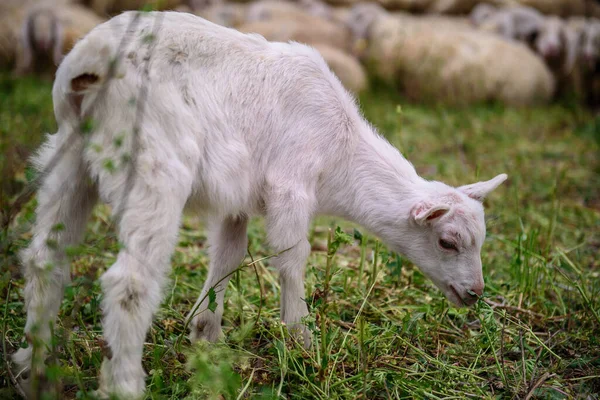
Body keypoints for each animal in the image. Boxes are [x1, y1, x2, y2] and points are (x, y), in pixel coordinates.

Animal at [10, 10, 506, 398]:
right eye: (447, 242)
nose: (475, 294)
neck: (341, 148)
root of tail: (92, 59)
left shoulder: (238, 202)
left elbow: (227, 258)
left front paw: (206, 337)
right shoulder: (292, 187)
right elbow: (292, 260)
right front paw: (303, 341)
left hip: (69, 157)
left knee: (44, 260)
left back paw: (34, 365)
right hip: (154, 163)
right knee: (128, 281)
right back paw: (125, 384)